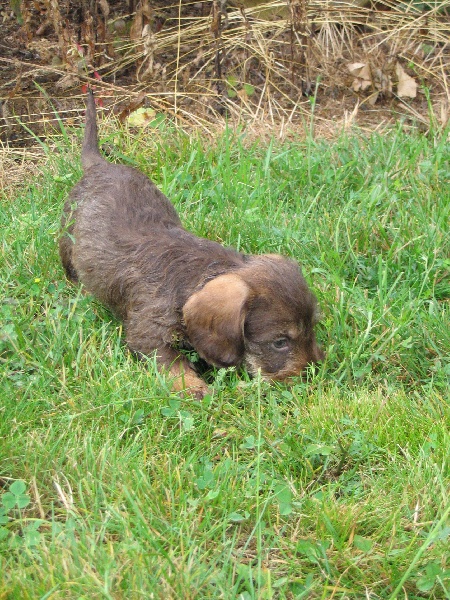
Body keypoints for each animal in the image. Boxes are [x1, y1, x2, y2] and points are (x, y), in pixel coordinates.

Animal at [59, 90, 326, 398]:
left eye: (313, 327)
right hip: (66, 237)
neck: (192, 279)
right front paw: (194, 388)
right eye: (280, 342)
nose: (316, 371)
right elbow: (173, 364)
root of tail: (99, 164)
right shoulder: (149, 335)